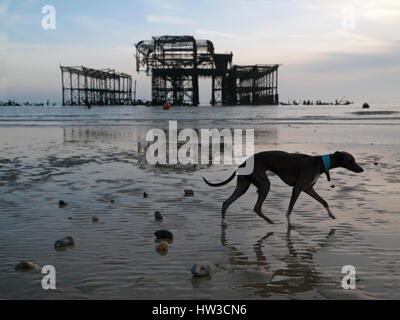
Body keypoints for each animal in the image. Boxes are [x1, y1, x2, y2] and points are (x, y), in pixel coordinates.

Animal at [205, 151, 364, 228]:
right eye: (351, 160)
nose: (362, 170)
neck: (319, 163)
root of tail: (243, 163)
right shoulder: (298, 188)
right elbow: (290, 208)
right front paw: (289, 224)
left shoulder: (308, 188)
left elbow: (324, 201)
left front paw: (331, 215)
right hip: (264, 185)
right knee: (256, 207)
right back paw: (270, 221)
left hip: (243, 186)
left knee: (226, 203)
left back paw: (224, 222)